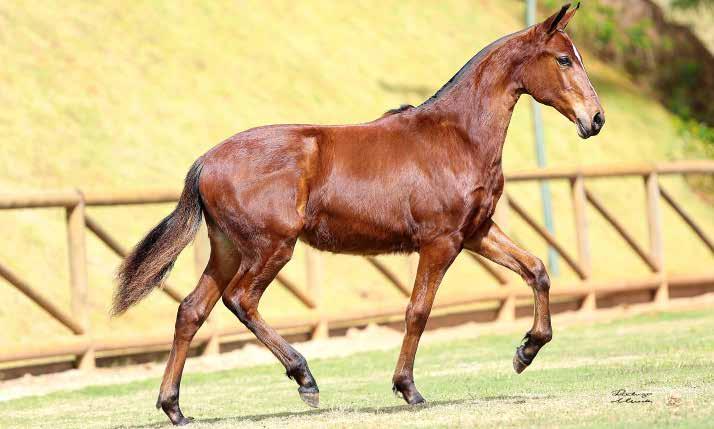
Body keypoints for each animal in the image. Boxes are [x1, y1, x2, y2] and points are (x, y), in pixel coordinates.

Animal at [112, 2, 600, 424]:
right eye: (563, 59)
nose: (595, 119)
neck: (457, 137)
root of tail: (207, 161)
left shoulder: (477, 231)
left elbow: (536, 269)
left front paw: (526, 351)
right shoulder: (440, 241)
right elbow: (419, 310)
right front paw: (408, 389)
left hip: (229, 250)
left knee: (191, 311)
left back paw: (174, 408)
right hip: (272, 247)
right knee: (241, 300)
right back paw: (304, 378)